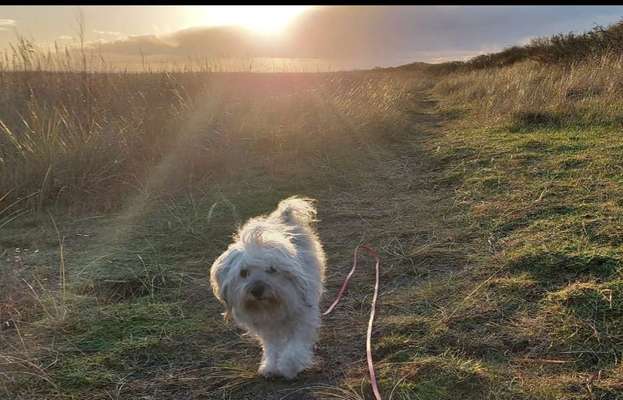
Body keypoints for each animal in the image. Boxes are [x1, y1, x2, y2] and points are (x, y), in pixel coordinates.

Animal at [210, 196, 326, 378]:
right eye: (243, 273)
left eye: (272, 269)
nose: (257, 290)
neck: (271, 306)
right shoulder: (267, 327)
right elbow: (272, 347)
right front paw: (271, 366)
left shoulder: (303, 316)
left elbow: (295, 344)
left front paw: (289, 366)